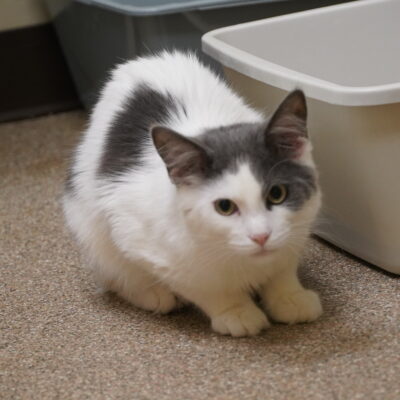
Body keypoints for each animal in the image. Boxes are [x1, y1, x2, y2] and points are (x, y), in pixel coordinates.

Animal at [64, 50, 324, 338]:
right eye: (224, 206)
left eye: (277, 194)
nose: (261, 236)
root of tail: (142, 60)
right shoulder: (132, 229)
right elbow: (201, 285)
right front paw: (235, 311)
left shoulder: (298, 228)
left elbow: (283, 266)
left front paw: (289, 297)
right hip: (87, 223)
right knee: (114, 273)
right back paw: (154, 294)